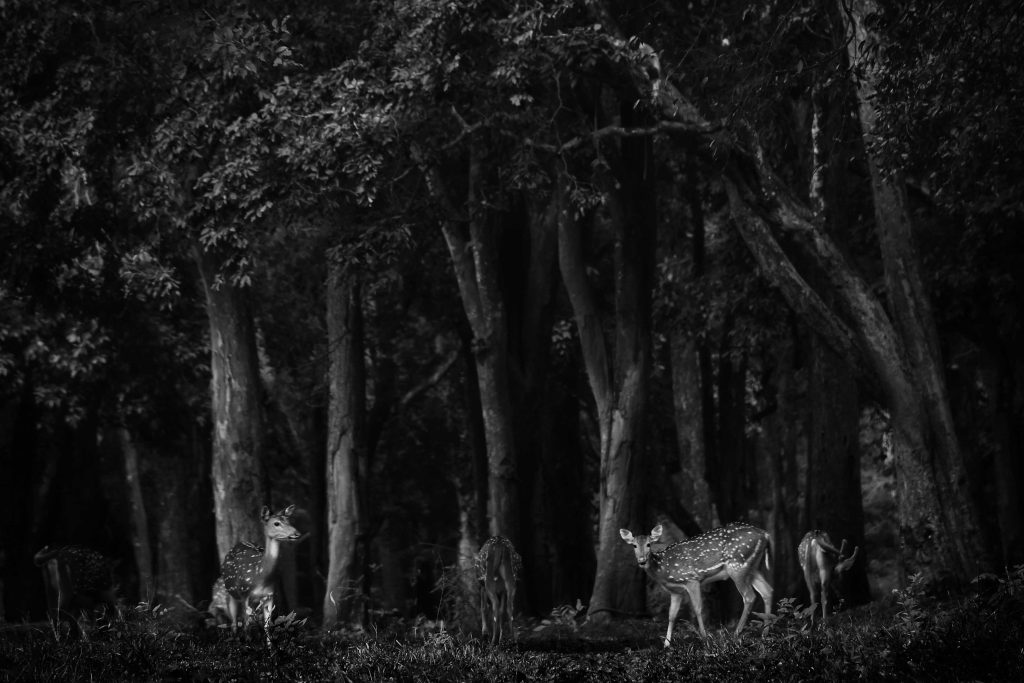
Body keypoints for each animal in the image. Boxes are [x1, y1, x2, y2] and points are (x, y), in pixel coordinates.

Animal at [220, 504, 302, 647]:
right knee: (234, 622)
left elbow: (267, 625)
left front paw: (270, 649)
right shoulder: (244, 593)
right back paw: (235, 643)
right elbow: (246, 624)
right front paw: (248, 647)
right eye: (276, 523)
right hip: (231, 593)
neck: (260, 575)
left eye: (289, 521)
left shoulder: (269, 595)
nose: (297, 534)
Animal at [620, 522, 773, 646]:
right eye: (634, 545)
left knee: (749, 596)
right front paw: (666, 645)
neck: (663, 569)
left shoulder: (691, 579)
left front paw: (705, 639)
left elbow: (698, 608)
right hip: (753, 567)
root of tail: (765, 534)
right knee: (767, 591)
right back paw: (765, 634)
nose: (642, 561)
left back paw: (736, 634)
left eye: (649, 544)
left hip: (737, 565)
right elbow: (672, 615)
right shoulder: (676, 591)